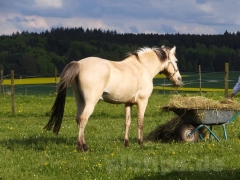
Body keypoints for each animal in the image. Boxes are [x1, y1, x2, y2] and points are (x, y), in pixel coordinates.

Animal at [44, 45, 182, 151]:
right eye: (175, 61)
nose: (179, 80)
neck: (143, 67)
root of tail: (79, 64)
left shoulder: (128, 103)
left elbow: (127, 122)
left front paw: (126, 144)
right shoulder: (142, 102)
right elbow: (140, 122)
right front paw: (141, 143)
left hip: (80, 100)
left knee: (78, 119)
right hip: (90, 102)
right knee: (83, 119)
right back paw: (83, 147)